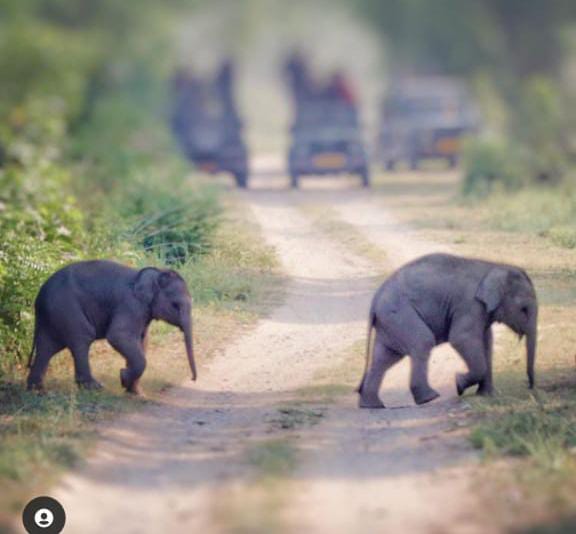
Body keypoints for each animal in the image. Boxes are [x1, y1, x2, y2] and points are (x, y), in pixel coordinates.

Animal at [27, 262, 197, 396]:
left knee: (47, 347)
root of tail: (38, 298)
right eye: (175, 305)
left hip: (52, 316)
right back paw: (95, 388)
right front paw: (123, 378)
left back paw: (37, 391)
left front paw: (136, 392)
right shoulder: (130, 305)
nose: (193, 379)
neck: (154, 273)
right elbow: (118, 336)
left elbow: (141, 341)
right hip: (67, 310)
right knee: (81, 338)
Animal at [358, 255, 536, 410]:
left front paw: (486, 395)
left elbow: (486, 342)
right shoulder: (469, 305)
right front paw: (458, 384)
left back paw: (372, 405)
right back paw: (429, 398)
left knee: (385, 357)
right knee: (422, 341)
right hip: (399, 315)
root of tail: (374, 301)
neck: (493, 267)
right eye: (523, 309)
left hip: (389, 322)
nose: (530, 387)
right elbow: (461, 338)